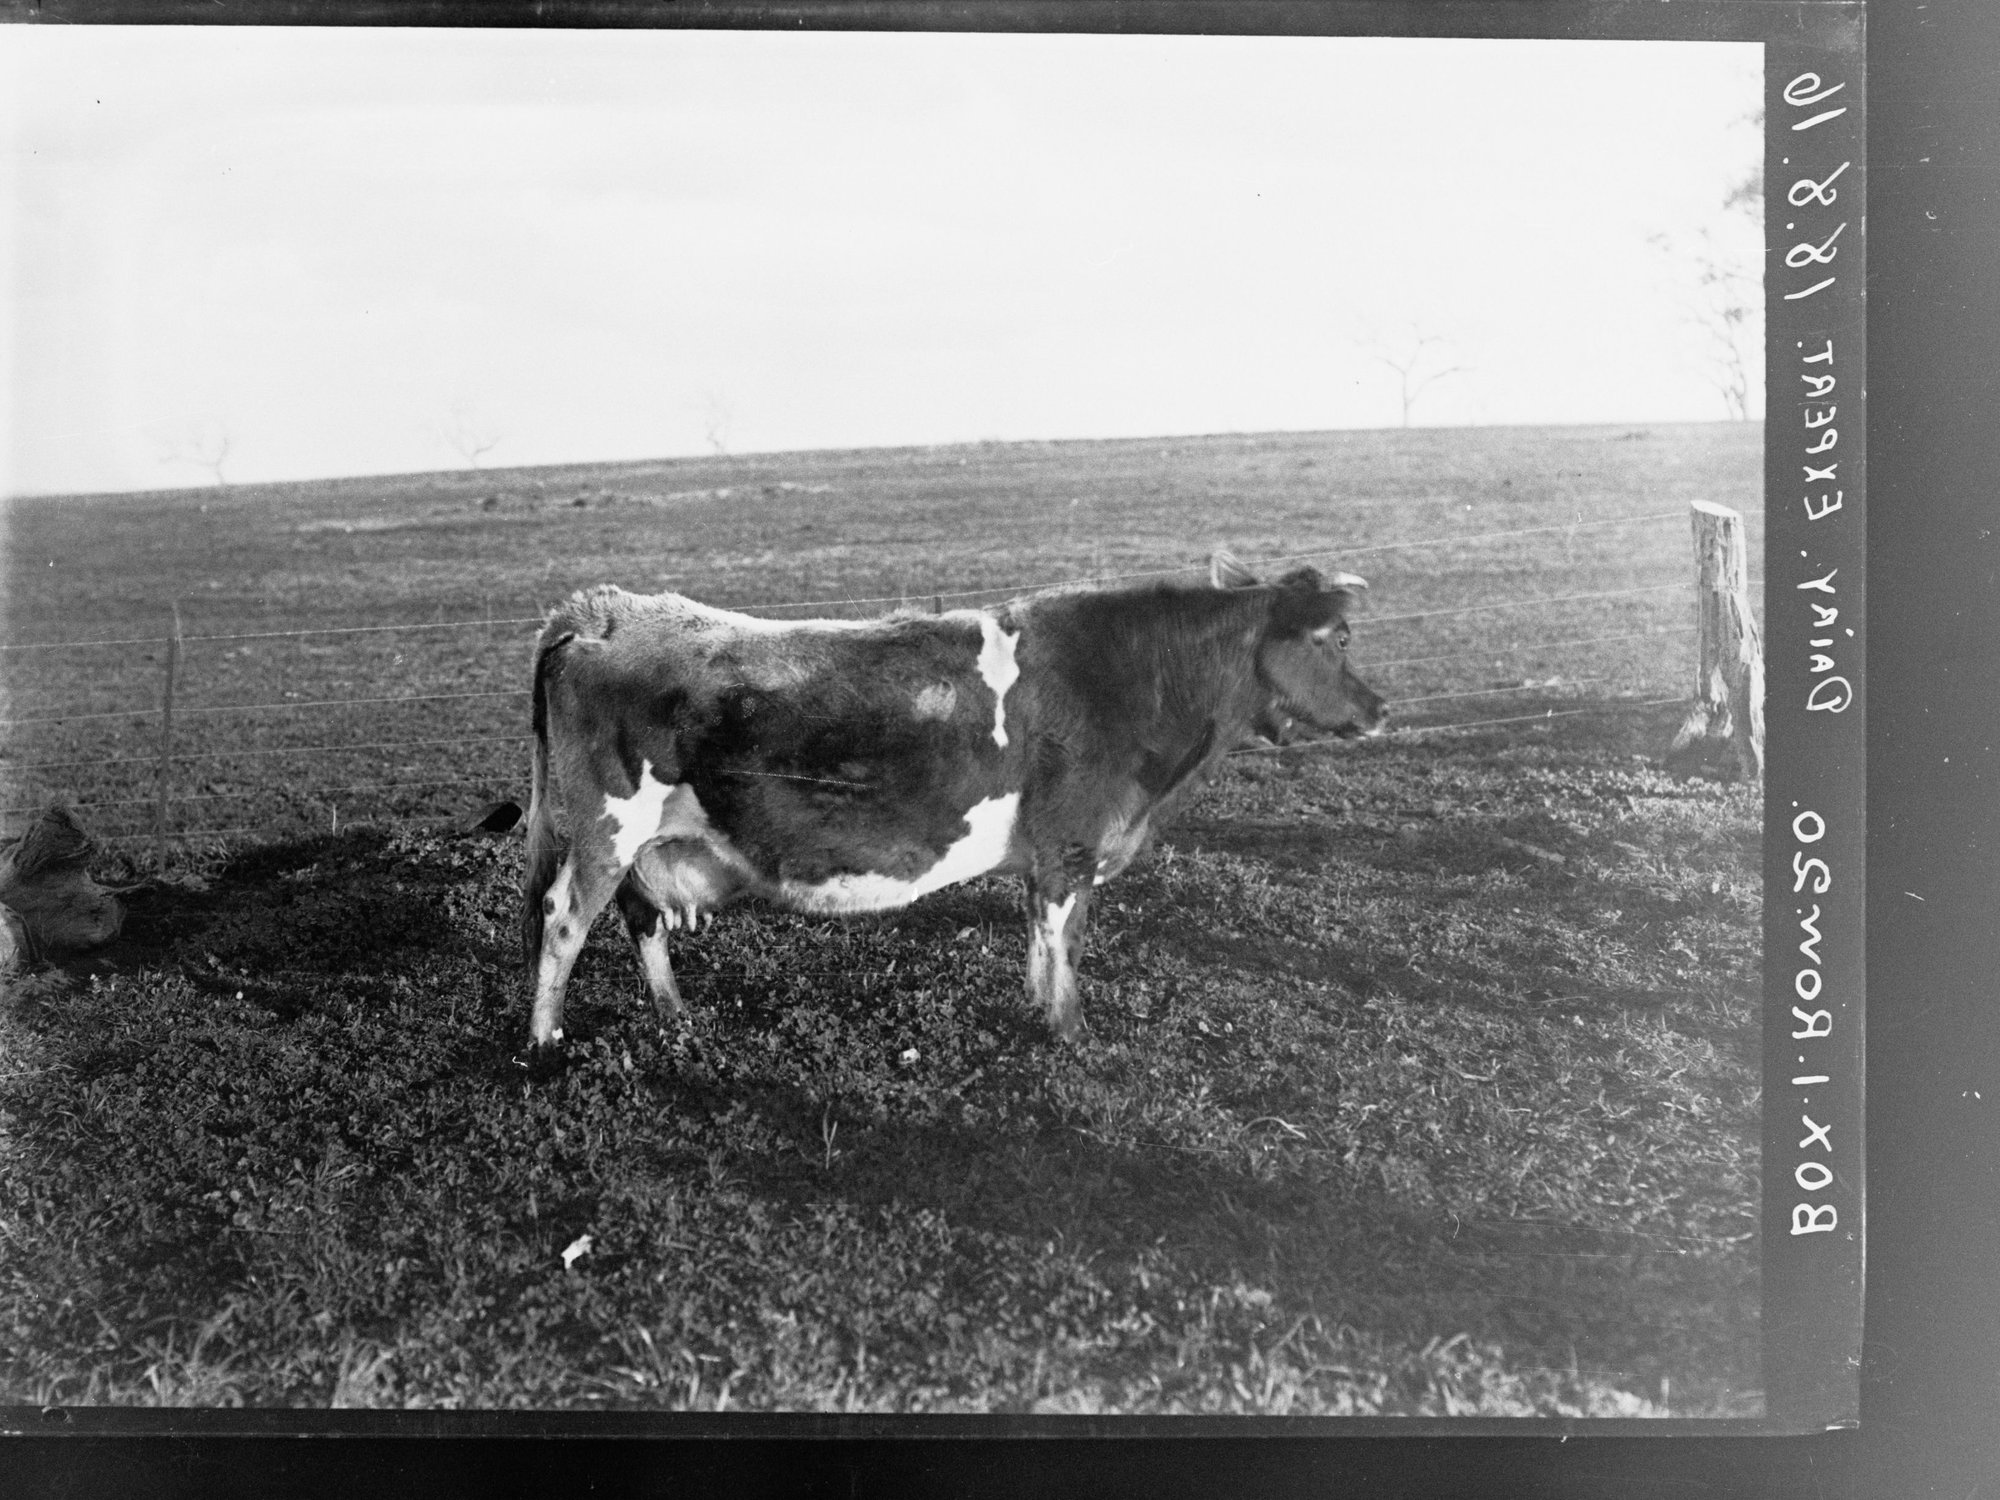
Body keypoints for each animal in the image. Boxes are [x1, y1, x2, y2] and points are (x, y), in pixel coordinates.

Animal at [519, 552, 1386, 1056]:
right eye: (1338, 638)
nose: (1380, 708)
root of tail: (601, 610)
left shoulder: (1047, 856)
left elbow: (1040, 938)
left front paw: (1041, 1014)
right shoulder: (1070, 845)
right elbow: (1065, 940)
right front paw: (1072, 1034)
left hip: (646, 844)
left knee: (641, 920)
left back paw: (675, 1016)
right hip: (607, 829)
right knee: (564, 919)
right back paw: (545, 1038)